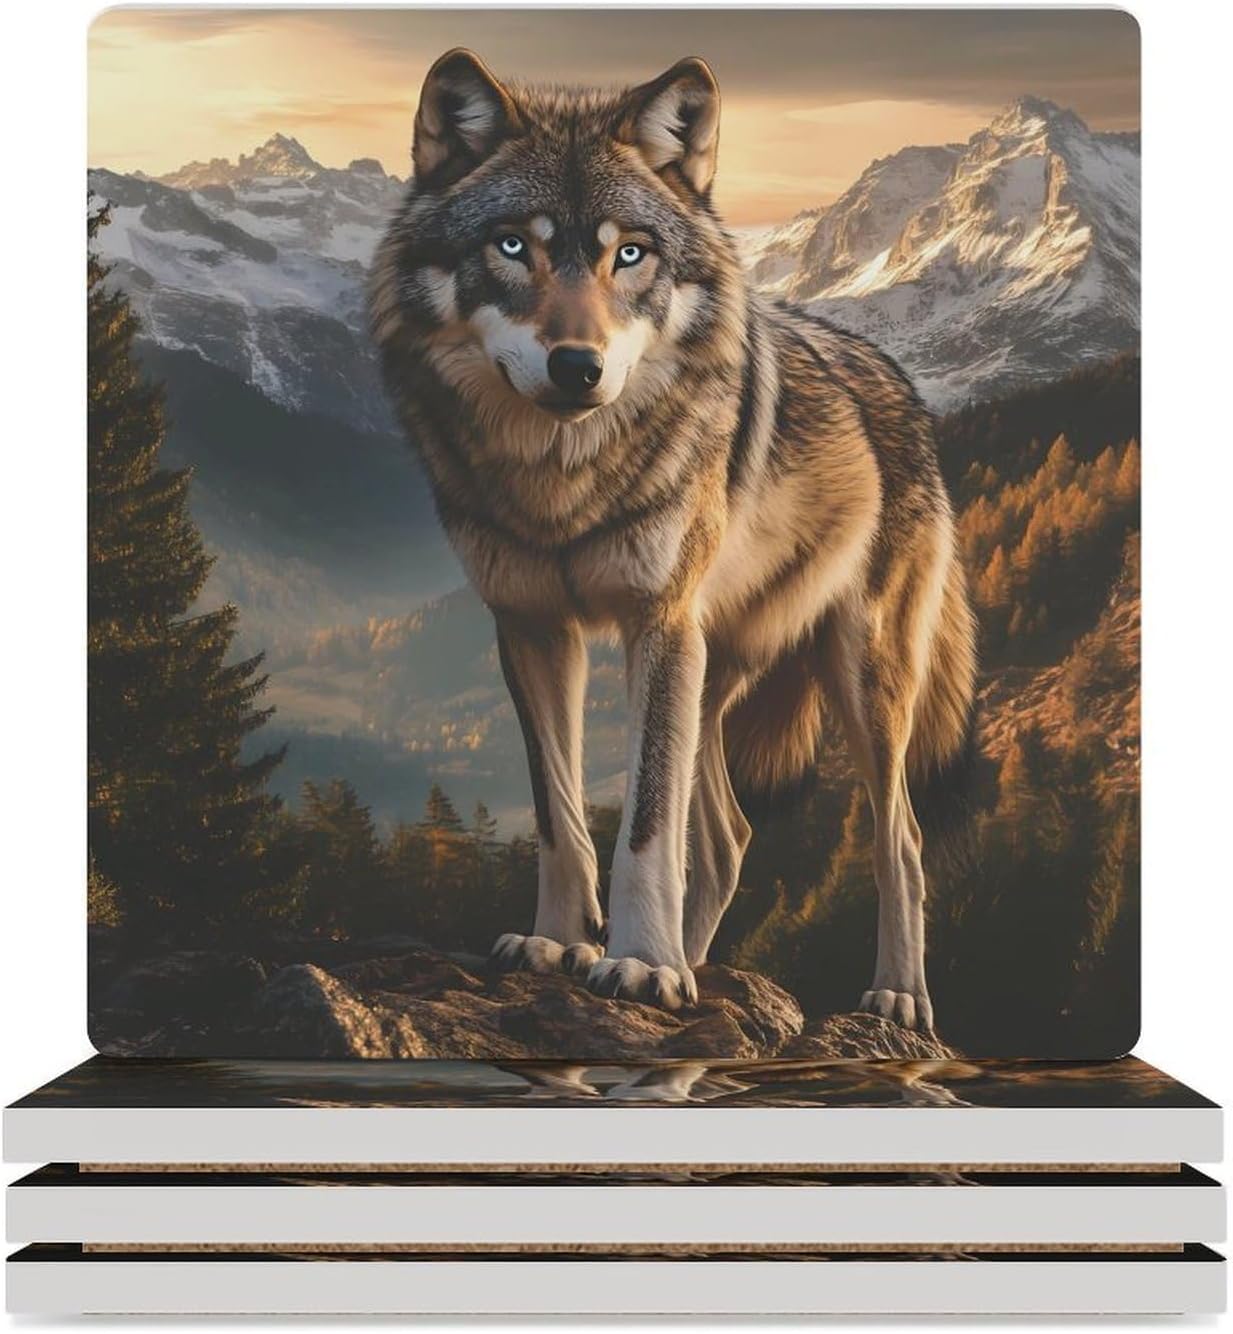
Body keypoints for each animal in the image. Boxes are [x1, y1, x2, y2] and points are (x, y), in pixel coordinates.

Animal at [371, 50, 977, 1031]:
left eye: (629, 252)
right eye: (513, 246)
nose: (577, 366)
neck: (563, 485)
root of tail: (901, 386)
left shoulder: (654, 624)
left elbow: (645, 827)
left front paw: (641, 965)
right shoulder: (532, 629)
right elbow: (560, 815)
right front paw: (561, 945)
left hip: (857, 679)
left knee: (904, 841)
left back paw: (893, 995)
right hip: (710, 672)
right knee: (728, 838)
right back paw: (695, 966)